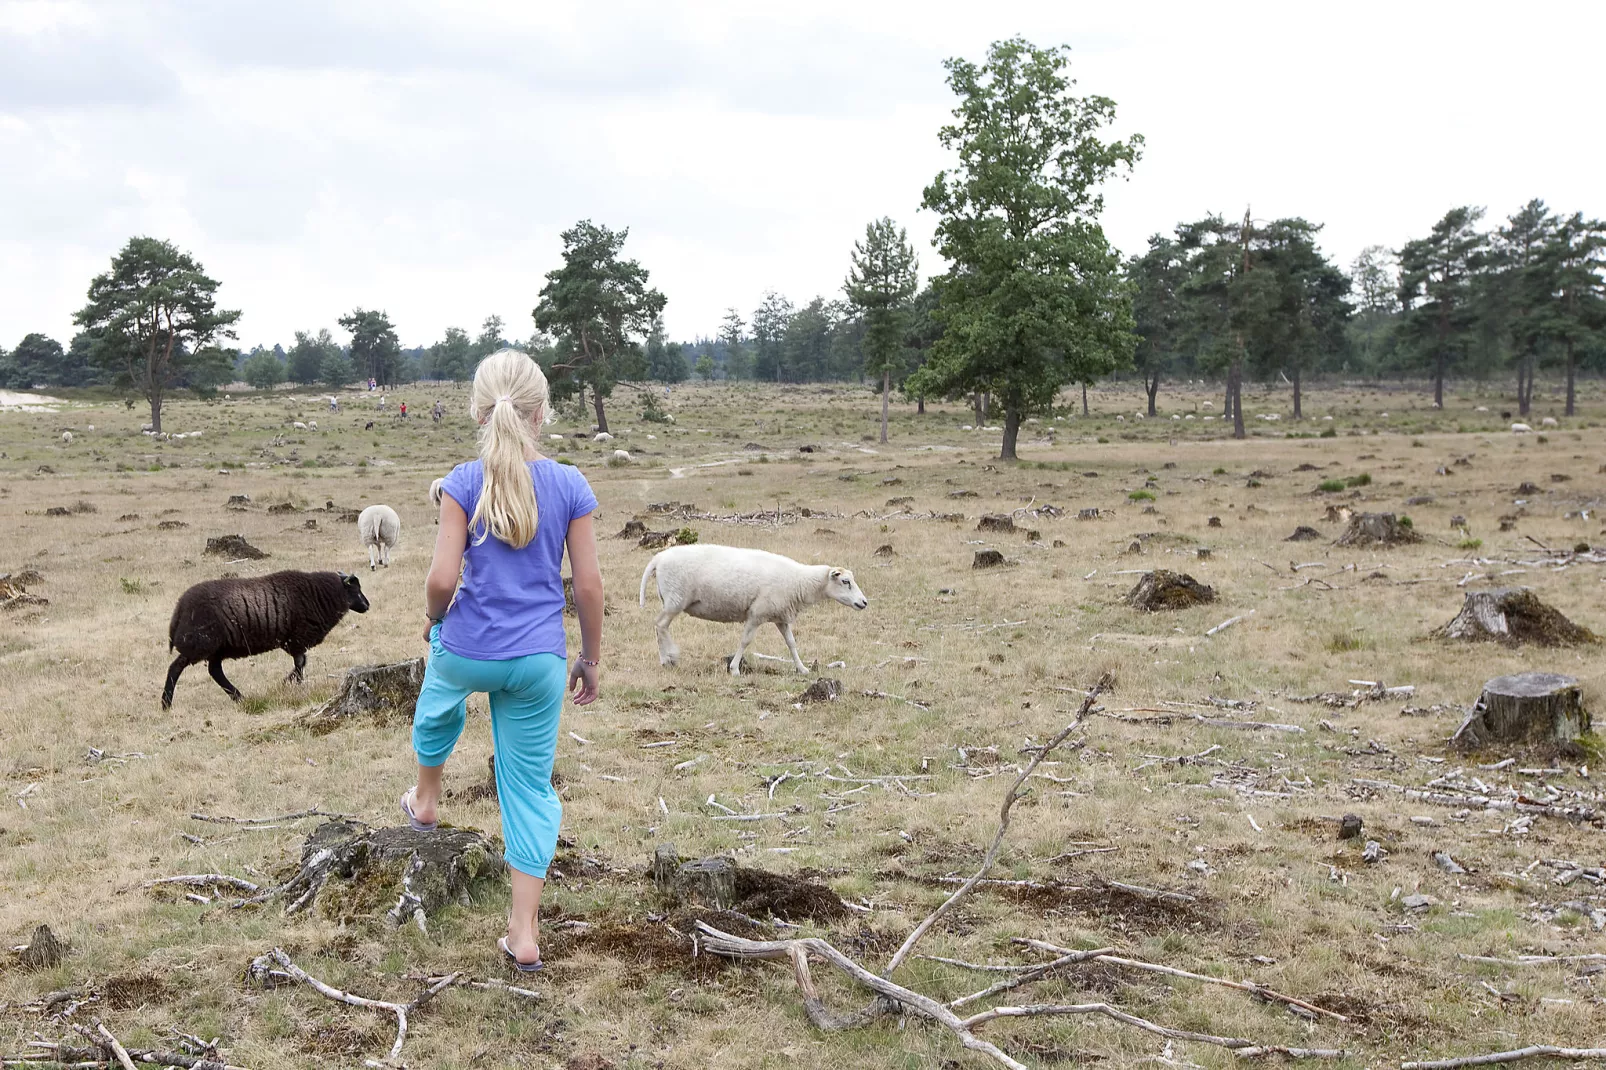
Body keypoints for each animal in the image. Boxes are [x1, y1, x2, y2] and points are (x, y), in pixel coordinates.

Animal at [165, 565, 372, 706]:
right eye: (355, 589)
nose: (367, 605)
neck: (322, 593)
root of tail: (179, 609)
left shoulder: (293, 641)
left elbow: (301, 663)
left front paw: (290, 682)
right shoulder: (296, 638)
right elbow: (300, 663)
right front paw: (290, 683)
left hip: (216, 648)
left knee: (215, 671)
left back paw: (238, 697)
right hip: (200, 643)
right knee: (175, 668)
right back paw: (166, 703)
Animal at [635, 543, 867, 674]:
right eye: (845, 581)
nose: (864, 602)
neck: (800, 582)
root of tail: (658, 558)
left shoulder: (780, 616)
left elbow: (791, 643)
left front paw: (802, 669)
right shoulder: (757, 613)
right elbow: (745, 641)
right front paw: (734, 669)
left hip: (671, 600)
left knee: (660, 626)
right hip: (675, 599)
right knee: (660, 625)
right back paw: (668, 658)